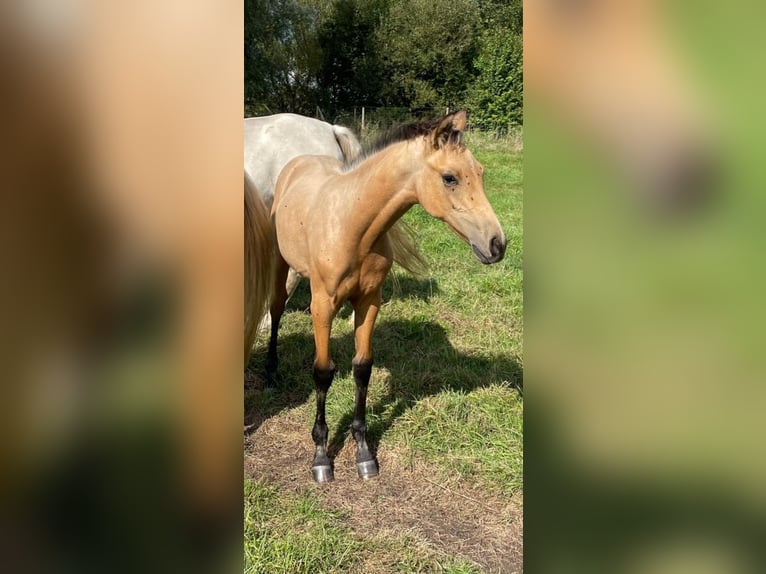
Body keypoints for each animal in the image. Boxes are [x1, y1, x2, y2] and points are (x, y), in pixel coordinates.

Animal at [267, 110, 507, 483]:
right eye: (450, 178)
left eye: (480, 173)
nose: (497, 244)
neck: (353, 224)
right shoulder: (323, 304)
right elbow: (322, 372)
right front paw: (321, 457)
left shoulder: (370, 302)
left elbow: (362, 367)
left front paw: (364, 453)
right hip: (281, 261)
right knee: (277, 307)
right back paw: (271, 367)